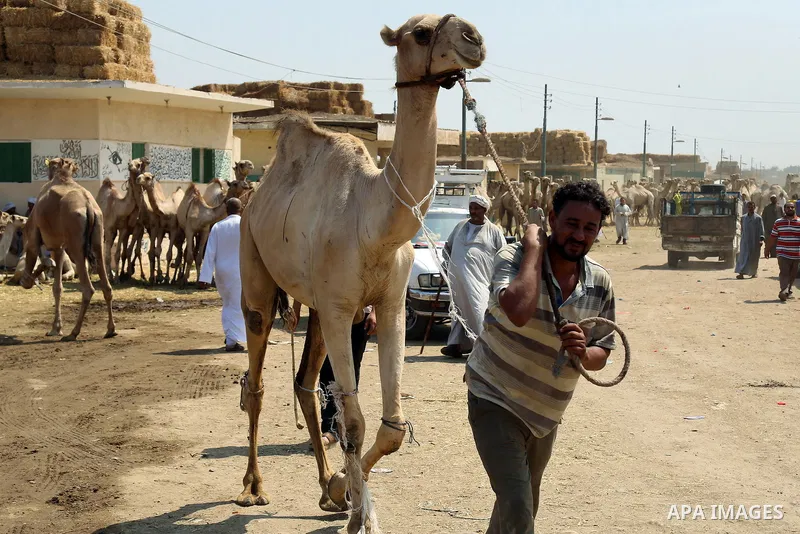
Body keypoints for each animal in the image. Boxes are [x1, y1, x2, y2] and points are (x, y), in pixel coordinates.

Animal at [19, 158, 115, 341]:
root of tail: (89, 207)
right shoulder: (59, 247)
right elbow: (58, 288)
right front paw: (56, 328)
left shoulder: (37, 236)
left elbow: (33, 257)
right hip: (98, 238)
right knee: (106, 286)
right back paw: (110, 330)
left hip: (75, 243)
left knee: (88, 289)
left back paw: (73, 333)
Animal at [234, 14, 485, 533]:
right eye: (421, 33)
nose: (475, 38)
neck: (374, 221)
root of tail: (252, 197)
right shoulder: (339, 307)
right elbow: (354, 422)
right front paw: (359, 510)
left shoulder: (386, 306)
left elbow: (391, 429)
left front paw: (342, 490)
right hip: (255, 265)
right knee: (258, 378)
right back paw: (253, 487)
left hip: (316, 306)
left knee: (304, 384)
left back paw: (325, 488)